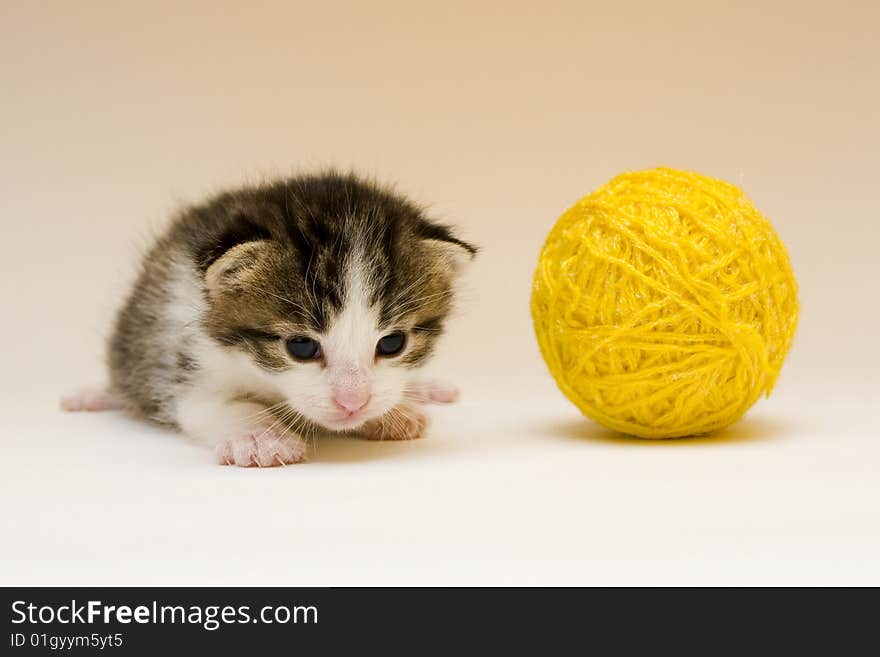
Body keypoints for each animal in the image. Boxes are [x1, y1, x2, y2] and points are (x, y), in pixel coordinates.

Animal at [63, 172, 474, 464]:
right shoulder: (177, 352)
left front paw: (394, 409)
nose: (353, 403)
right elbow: (205, 404)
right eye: (301, 347)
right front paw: (260, 436)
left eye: (392, 343)